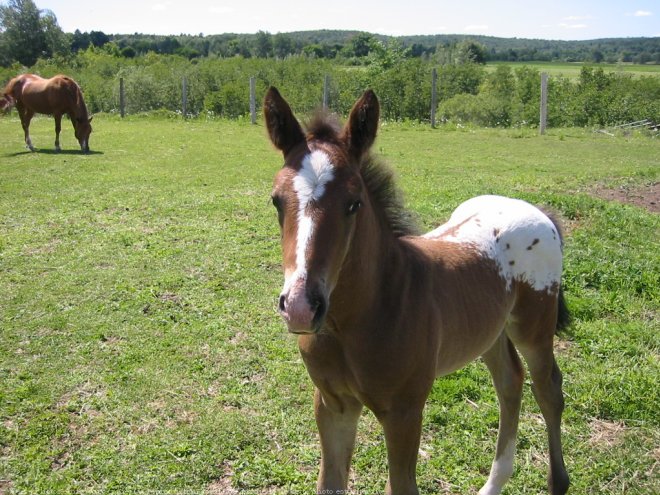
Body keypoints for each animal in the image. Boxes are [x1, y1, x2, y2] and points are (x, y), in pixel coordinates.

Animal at [262, 87, 568, 494]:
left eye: (353, 203)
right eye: (276, 200)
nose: (300, 306)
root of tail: (537, 211)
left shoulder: (404, 412)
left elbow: (402, 485)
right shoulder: (332, 404)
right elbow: (330, 482)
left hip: (534, 326)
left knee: (547, 389)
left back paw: (558, 481)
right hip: (489, 331)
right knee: (510, 382)